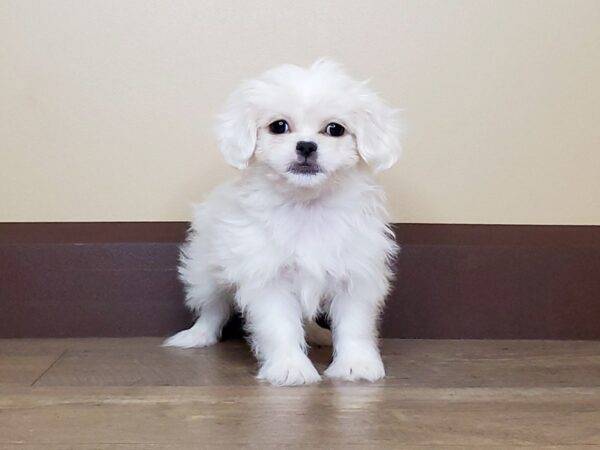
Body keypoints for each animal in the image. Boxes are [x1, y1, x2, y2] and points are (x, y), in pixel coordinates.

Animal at [163, 59, 404, 384]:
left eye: (335, 129)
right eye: (279, 126)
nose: (306, 146)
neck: (306, 205)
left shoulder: (356, 274)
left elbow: (355, 325)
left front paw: (357, 365)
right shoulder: (269, 276)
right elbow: (280, 326)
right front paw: (290, 367)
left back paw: (317, 334)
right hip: (205, 269)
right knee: (213, 306)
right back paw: (197, 336)